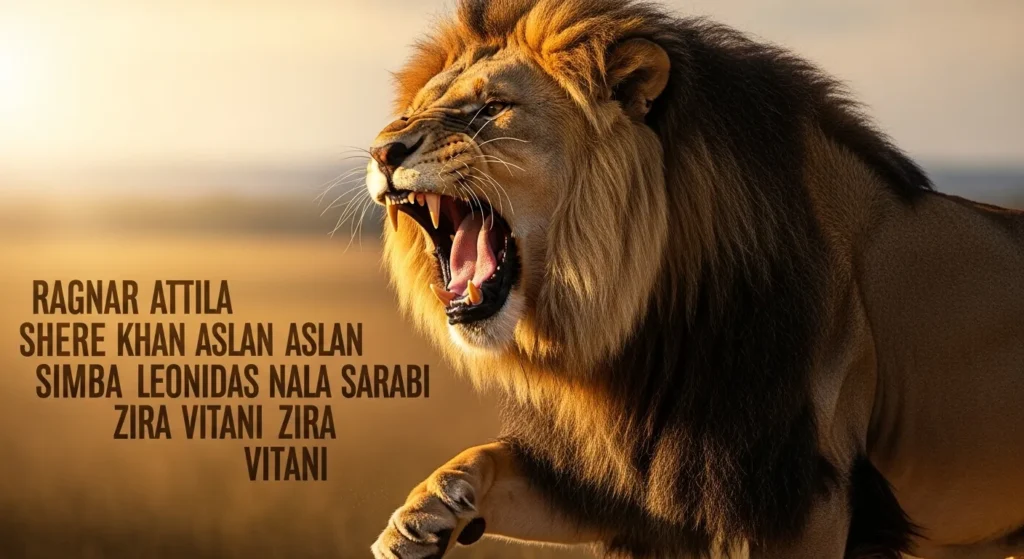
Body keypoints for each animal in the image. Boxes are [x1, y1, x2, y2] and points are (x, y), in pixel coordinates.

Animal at [361, 1, 1024, 558]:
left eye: (492, 108)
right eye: (409, 112)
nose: (384, 150)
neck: (647, 319)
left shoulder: (800, 497)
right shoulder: (623, 479)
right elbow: (487, 456)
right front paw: (422, 518)